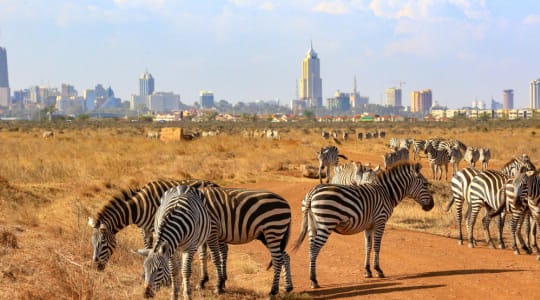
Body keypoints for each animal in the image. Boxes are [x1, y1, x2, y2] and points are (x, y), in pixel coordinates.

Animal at [86, 178, 217, 272]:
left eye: (103, 242)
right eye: (92, 243)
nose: (96, 267)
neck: (139, 207)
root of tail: (214, 184)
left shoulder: (156, 228)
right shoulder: (145, 229)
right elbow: (147, 246)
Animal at [292, 163, 434, 290]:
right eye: (425, 184)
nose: (432, 206)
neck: (387, 193)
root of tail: (312, 192)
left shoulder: (368, 226)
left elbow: (368, 247)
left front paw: (368, 271)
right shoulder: (380, 221)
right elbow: (377, 246)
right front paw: (378, 270)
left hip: (312, 226)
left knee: (310, 248)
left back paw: (312, 278)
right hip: (326, 224)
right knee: (314, 249)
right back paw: (314, 280)